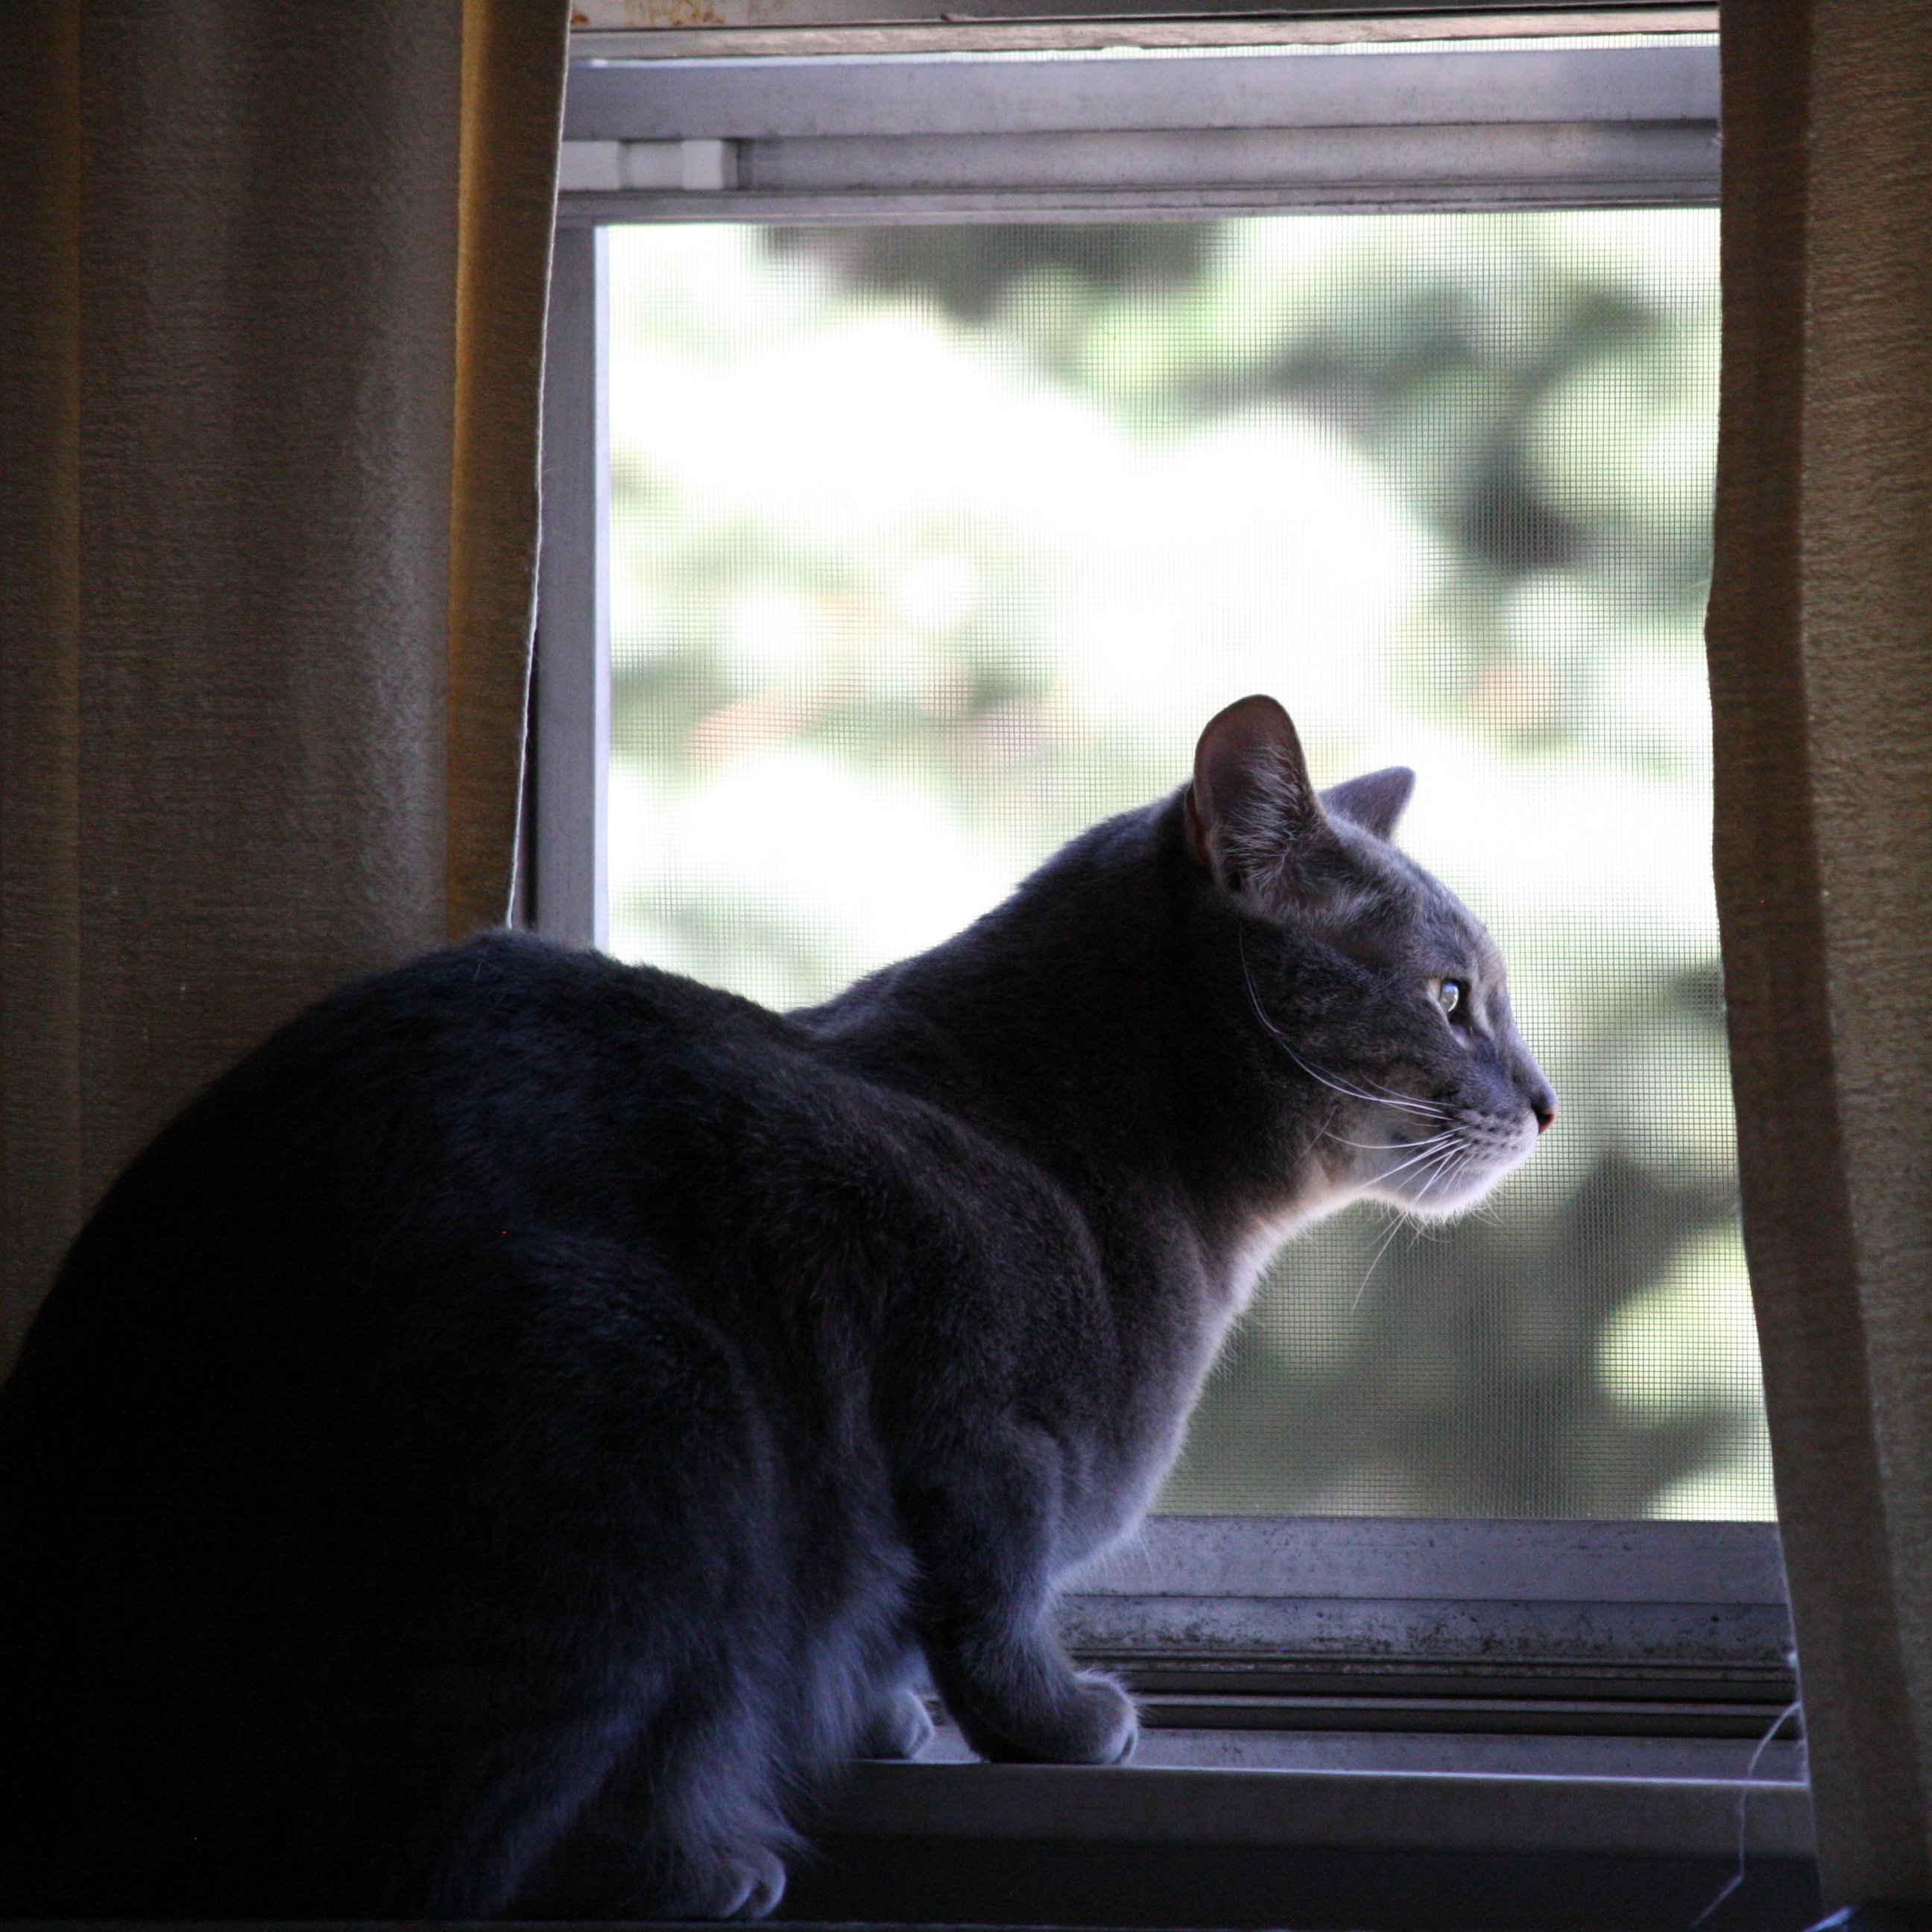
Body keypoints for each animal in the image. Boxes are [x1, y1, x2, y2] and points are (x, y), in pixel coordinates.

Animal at [0, 691, 1553, 1916]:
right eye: (1452, 996)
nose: (1543, 1102)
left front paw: (887, 1722)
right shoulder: (983, 1440)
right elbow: (994, 1615)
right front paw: (1059, 1723)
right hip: (650, 1410)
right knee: (436, 1855)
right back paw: (697, 1869)